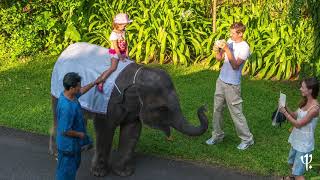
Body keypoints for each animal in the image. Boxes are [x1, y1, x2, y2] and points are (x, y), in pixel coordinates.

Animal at [50, 61, 209, 176]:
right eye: (163, 109)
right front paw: (99, 173)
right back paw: (57, 153)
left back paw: (83, 148)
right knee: (59, 117)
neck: (138, 75)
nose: (204, 108)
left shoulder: (134, 108)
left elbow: (132, 130)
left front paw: (124, 172)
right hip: (58, 93)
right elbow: (104, 130)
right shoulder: (109, 104)